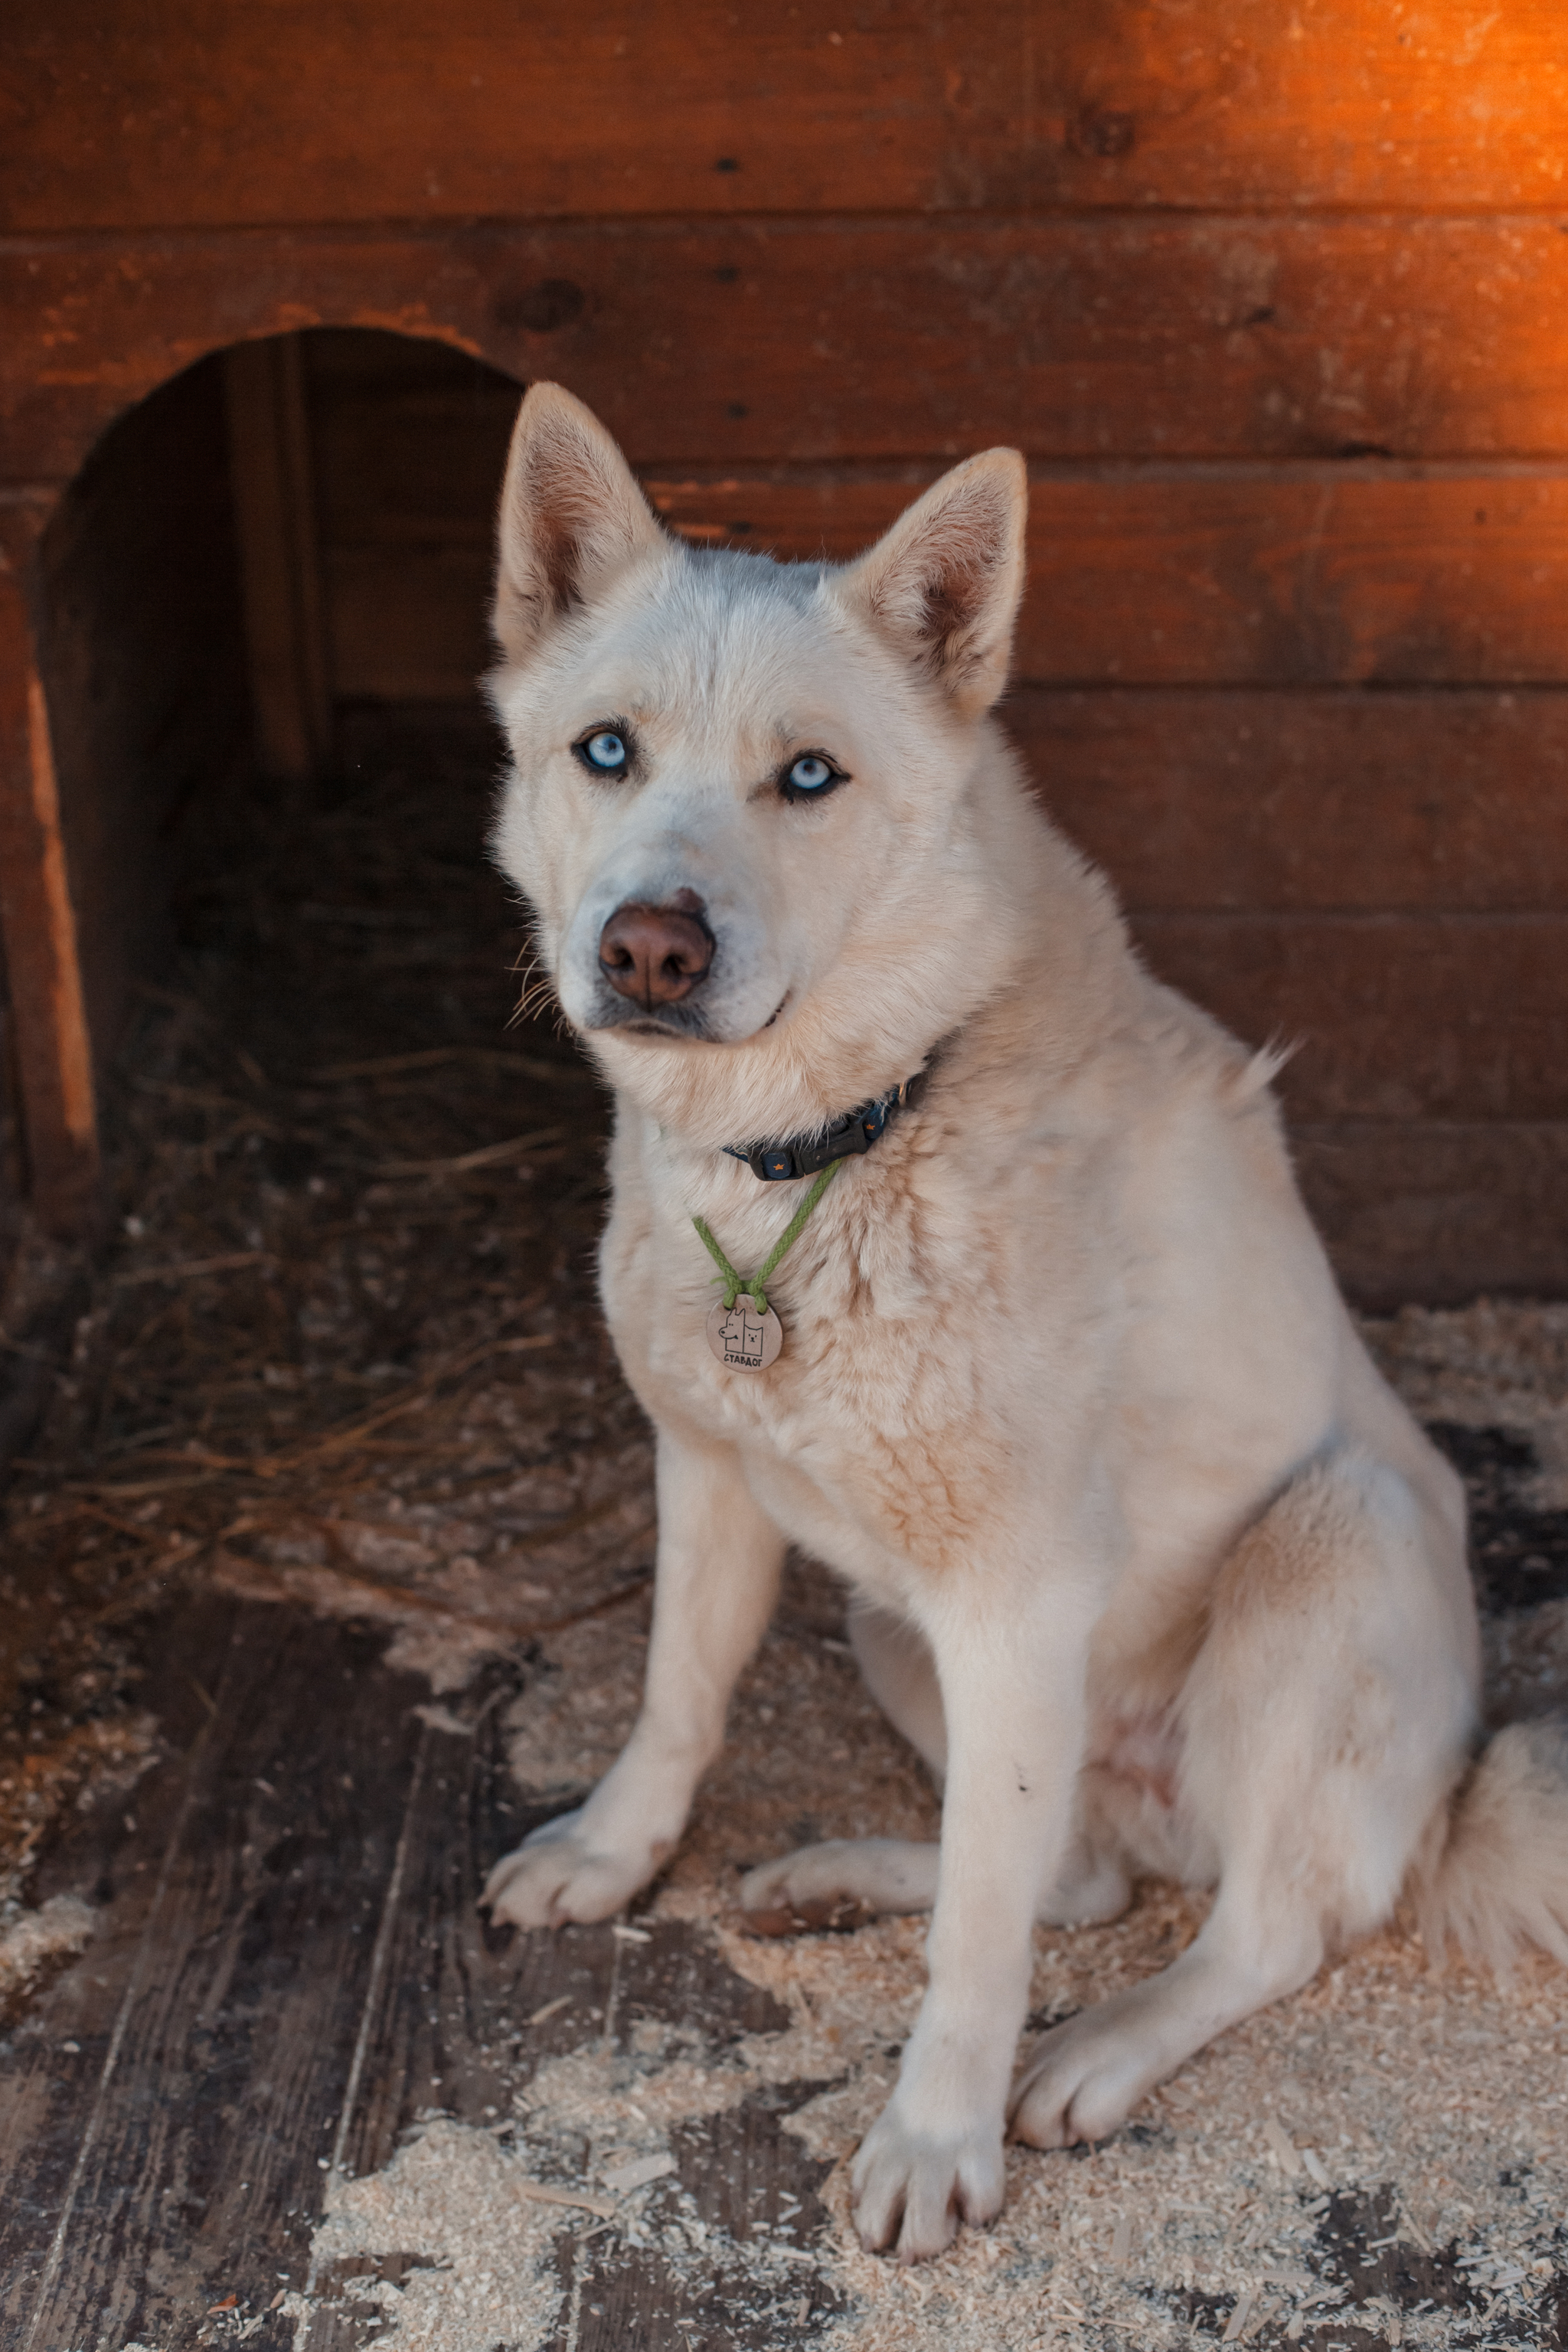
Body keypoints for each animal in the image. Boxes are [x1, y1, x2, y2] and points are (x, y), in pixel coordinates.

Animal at [479, 381, 1568, 2258]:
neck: (831, 1152)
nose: (649, 949)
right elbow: (678, 1702)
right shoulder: (711, 1477)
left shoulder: (1017, 1599)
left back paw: (1095, 2054)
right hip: (894, 1628)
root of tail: (1451, 1797)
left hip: (1325, 1544)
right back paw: (849, 1880)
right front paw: (616, 1855)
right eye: (604, 750)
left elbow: (979, 1955)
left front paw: (935, 2138)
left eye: (810, 776)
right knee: (1074, 1873)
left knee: (1256, 1927)